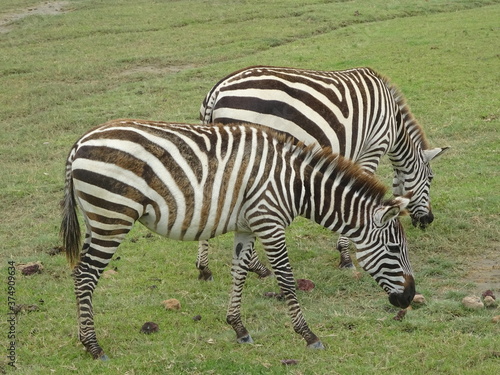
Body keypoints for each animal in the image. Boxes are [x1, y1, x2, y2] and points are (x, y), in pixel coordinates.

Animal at [60, 119, 416, 362]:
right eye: (395, 249)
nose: (410, 298)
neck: (296, 186)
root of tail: (80, 144)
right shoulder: (270, 223)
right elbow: (287, 281)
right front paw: (308, 335)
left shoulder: (247, 226)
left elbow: (239, 273)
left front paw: (238, 328)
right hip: (112, 218)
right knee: (86, 277)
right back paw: (94, 346)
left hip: (97, 220)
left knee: (78, 274)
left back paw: (84, 339)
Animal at [196, 65, 450, 280]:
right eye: (430, 179)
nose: (428, 220)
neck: (394, 124)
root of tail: (217, 89)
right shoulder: (372, 149)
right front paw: (346, 255)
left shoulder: (352, 154)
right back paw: (256, 267)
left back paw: (206, 268)